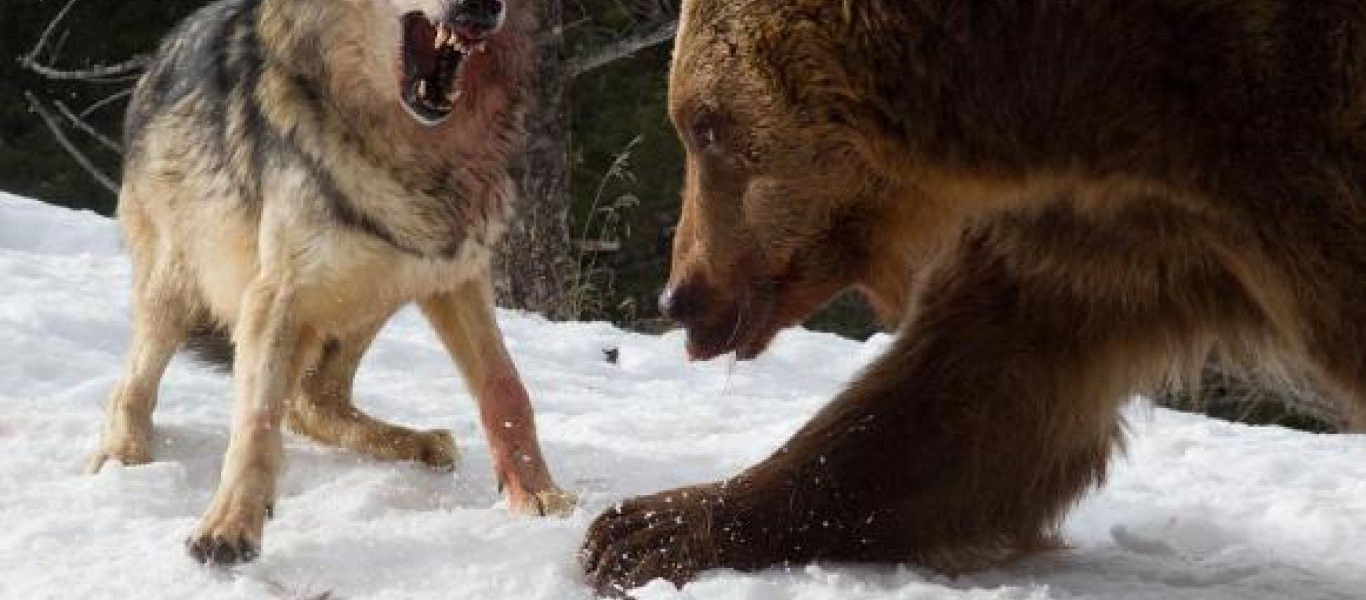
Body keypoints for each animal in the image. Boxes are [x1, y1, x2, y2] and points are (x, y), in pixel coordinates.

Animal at [86, 0, 576, 565]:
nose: (481, 7)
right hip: (183, 284)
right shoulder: (275, 295)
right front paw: (229, 527)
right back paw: (122, 456)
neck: (418, 152)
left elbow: (506, 388)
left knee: (312, 401)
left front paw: (538, 494)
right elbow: (255, 421)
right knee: (134, 387)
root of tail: (156, 61)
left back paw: (420, 443)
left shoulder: (456, 272)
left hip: (375, 291)